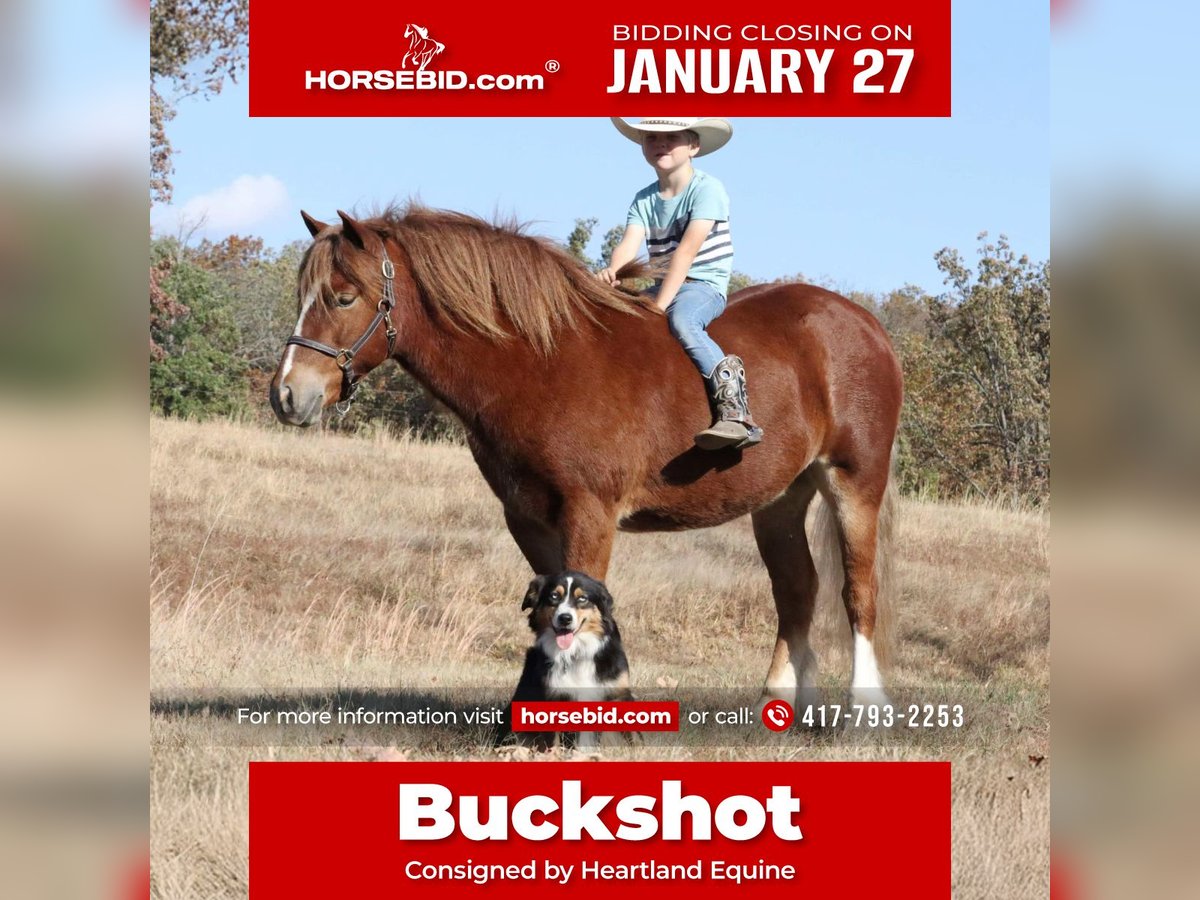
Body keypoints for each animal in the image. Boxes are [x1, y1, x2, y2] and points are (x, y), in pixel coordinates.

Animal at [270, 204, 902, 710]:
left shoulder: (590, 513)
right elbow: (548, 616)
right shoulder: (528, 519)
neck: (542, 360)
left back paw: (863, 708)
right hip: (780, 498)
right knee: (797, 592)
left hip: (854, 482)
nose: (287, 395)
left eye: (344, 297)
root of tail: (865, 324)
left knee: (858, 591)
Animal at [494, 573, 638, 748]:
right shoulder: (553, 697)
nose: (565, 618)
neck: (575, 652)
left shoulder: (618, 693)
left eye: (582, 598)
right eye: (554, 596)